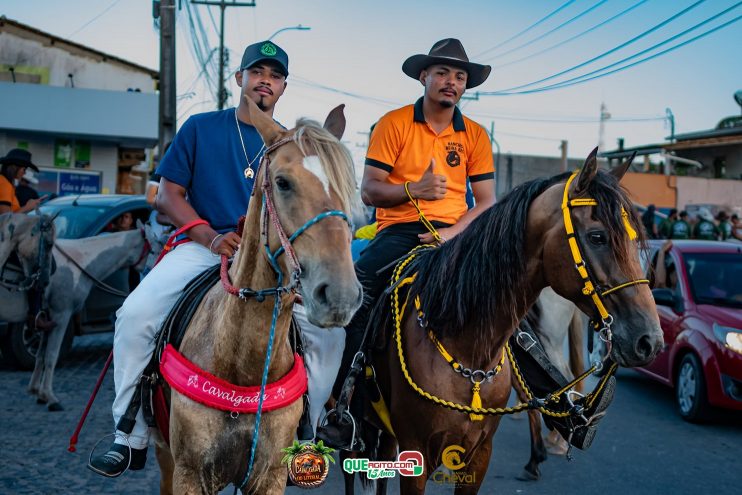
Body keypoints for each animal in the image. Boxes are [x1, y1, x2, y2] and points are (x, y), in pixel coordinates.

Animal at [158, 98, 364, 495]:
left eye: (351, 187)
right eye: (282, 182)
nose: (341, 295)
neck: (244, 365)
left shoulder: (269, 475)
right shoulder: (189, 473)